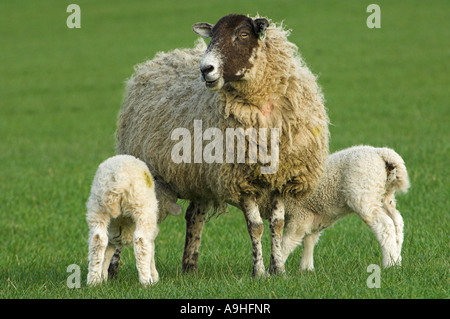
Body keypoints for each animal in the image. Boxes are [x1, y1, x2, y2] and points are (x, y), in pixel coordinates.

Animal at [86, 155, 181, 288]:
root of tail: (118, 182)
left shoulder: (113, 237)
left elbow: (107, 254)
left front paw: (103, 277)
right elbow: (151, 250)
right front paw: (155, 277)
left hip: (98, 207)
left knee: (98, 239)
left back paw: (93, 281)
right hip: (141, 208)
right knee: (141, 241)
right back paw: (146, 281)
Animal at [114, 13, 328, 278]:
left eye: (243, 34)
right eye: (212, 36)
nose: (206, 69)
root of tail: (156, 60)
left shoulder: (282, 176)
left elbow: (276, 225)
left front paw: (278, 270)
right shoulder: (239, 178)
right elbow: (256, 226)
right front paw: (259, 273)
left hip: (200, 179)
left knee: (194, 217)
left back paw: (190, 269)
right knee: (127, 221)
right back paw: (113, 271)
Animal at [278, 146, 412, 272]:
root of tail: (382, 153)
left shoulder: (300, 214)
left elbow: (287, 243)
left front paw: (277, 270)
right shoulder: (313, 217)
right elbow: (308, 241)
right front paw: (307, 270)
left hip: (363, 194)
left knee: (385, 225)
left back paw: (389, 265)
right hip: (385, 195)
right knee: (397, 221)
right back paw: (397, 261)